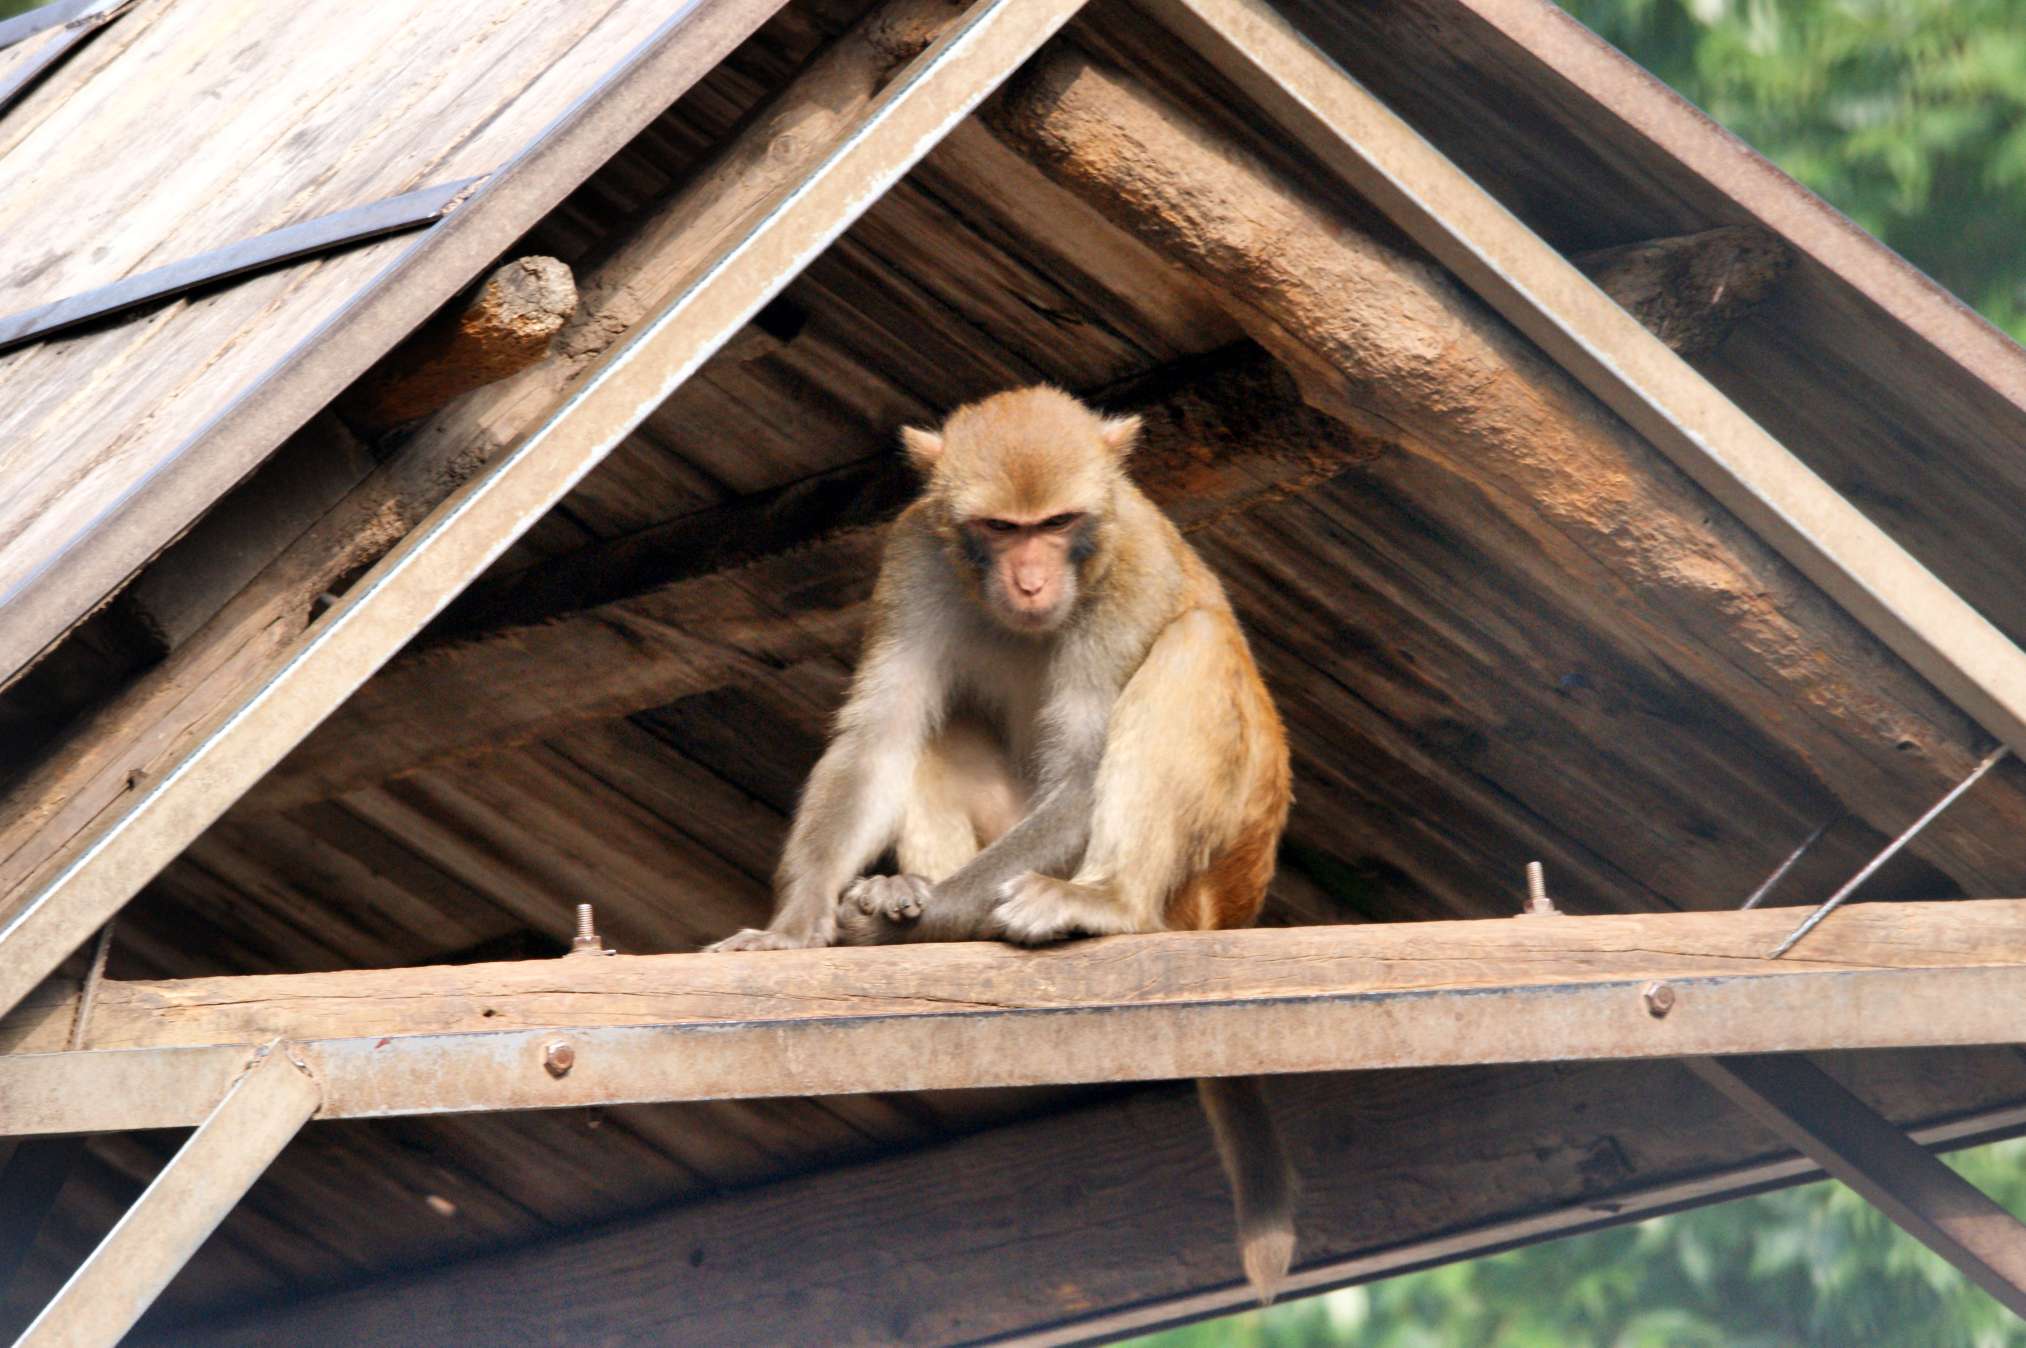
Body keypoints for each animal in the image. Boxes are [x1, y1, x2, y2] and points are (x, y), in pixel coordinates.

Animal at [717, 383, 1296, 1297]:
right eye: (1000, 527)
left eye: (1056, 524)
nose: (1029, 578)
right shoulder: (915, 559)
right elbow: (880, 733)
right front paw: (798, 923)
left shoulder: (1130, 570)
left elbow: (1086, 770)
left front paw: (891, 924)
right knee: (936, 726)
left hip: (1213, 877)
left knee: (1194, 645)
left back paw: (1103, 903)